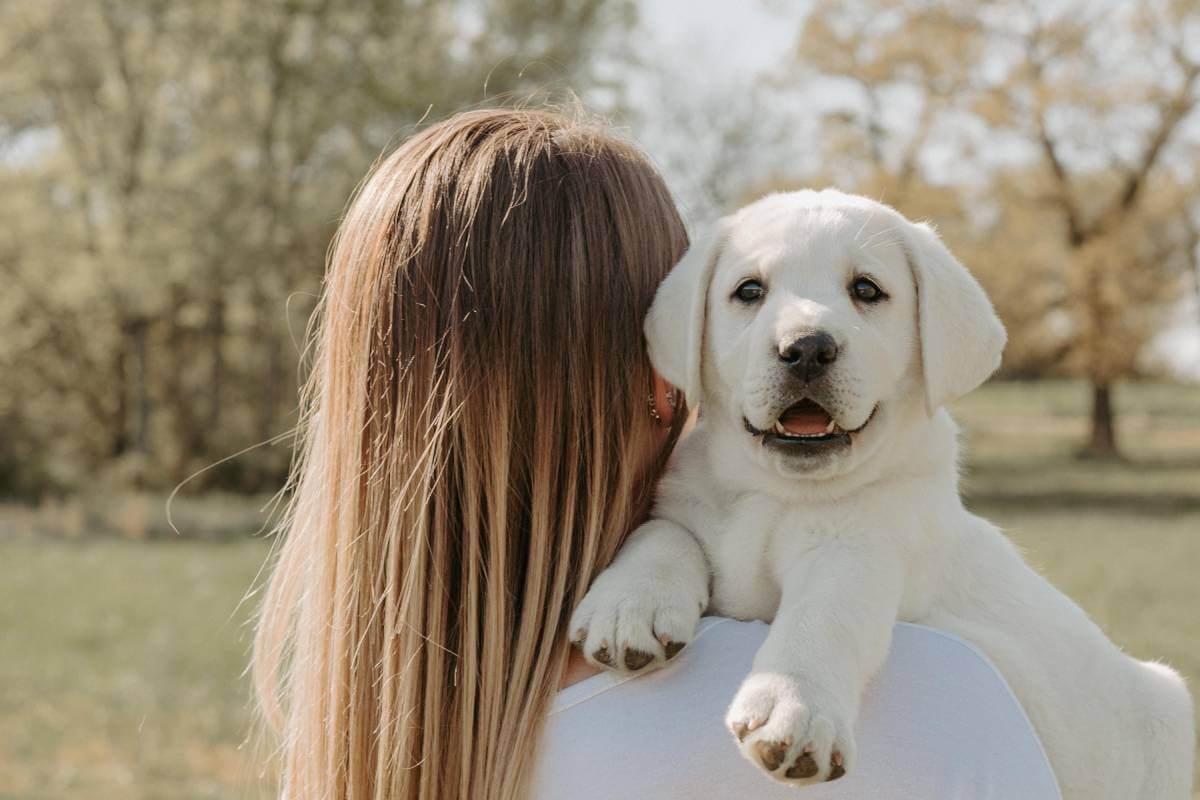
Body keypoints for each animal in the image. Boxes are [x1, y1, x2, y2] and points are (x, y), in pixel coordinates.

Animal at [568, 190, 1190, 796]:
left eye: (866, 290)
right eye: (749, 291)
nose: (807, 349)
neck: (779, 493)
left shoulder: (863, 548)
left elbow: (824, 614)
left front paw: (794, 706)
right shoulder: (692, 503)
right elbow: (662, 532)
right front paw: (629, 606)